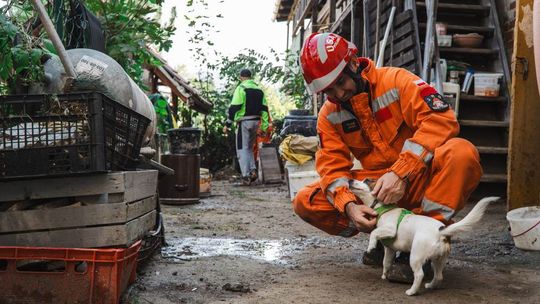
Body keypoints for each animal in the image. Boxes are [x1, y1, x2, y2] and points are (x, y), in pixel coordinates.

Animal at [350, 179, 498, 296]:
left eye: (367, 180)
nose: (350, 180)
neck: (384, 209)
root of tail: (441, 232)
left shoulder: (391, 230)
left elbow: (374, 233)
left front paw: (371, 246)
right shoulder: (390, 249)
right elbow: (386, 263)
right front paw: (384, 275)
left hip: (416, 256)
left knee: (419, 274)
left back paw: (412, 291)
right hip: (438, 259)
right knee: (439, 276)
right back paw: (431, 286)